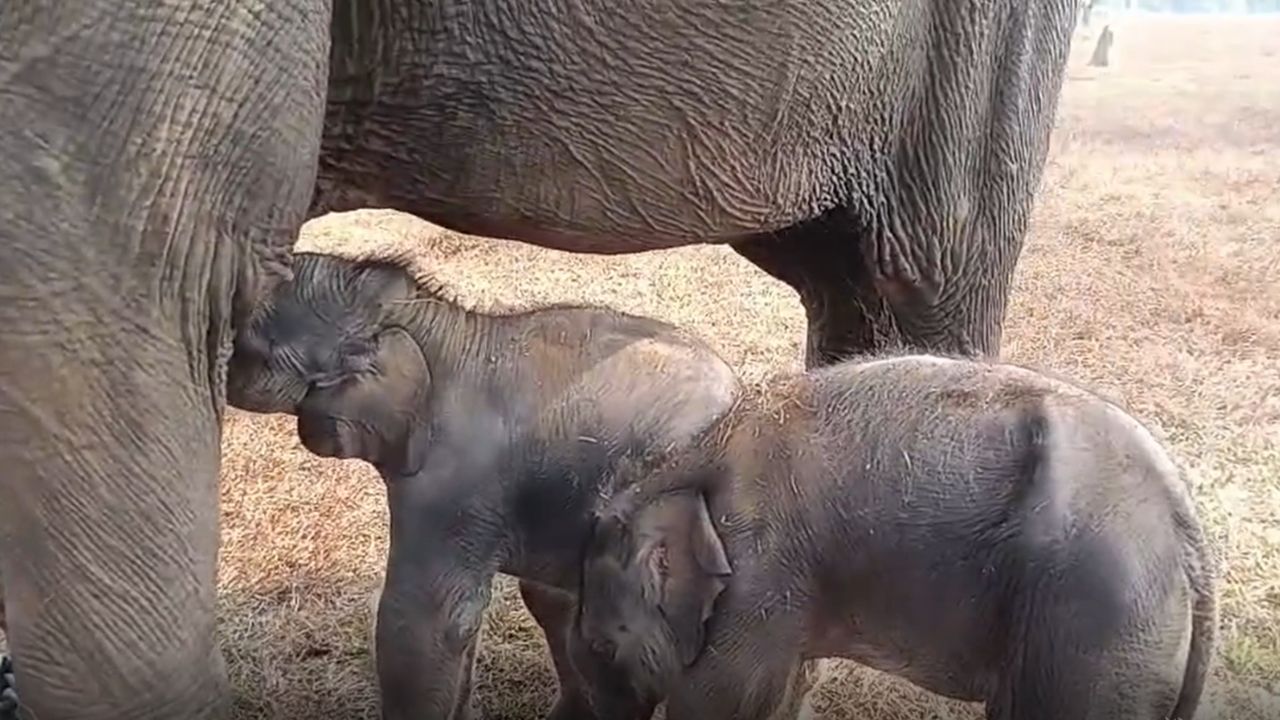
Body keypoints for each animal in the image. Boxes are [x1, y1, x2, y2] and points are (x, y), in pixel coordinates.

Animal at [570, 355, 1219, 720]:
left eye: (602, 646)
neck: (686, 456)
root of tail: (1188, 530)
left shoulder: (760, 571)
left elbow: (717, 702)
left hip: (1095, 625)